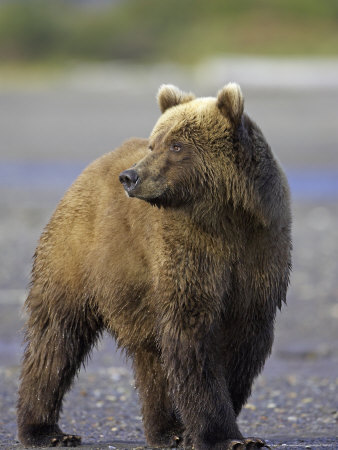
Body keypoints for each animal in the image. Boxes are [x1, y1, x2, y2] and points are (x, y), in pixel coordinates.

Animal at [17, 82, 290, 448]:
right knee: (57, 334)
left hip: (137, 286)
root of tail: (91, 168)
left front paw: (210, 428)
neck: (225, 217)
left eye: (176, 145)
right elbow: (192, 336)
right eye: (153, 143)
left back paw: (166, 430)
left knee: (152, 355)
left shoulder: (261, 250)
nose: (129, 176)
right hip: (76, 253)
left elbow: (243, 338)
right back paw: (45, 430)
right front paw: (222, 435)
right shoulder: (189, 251)